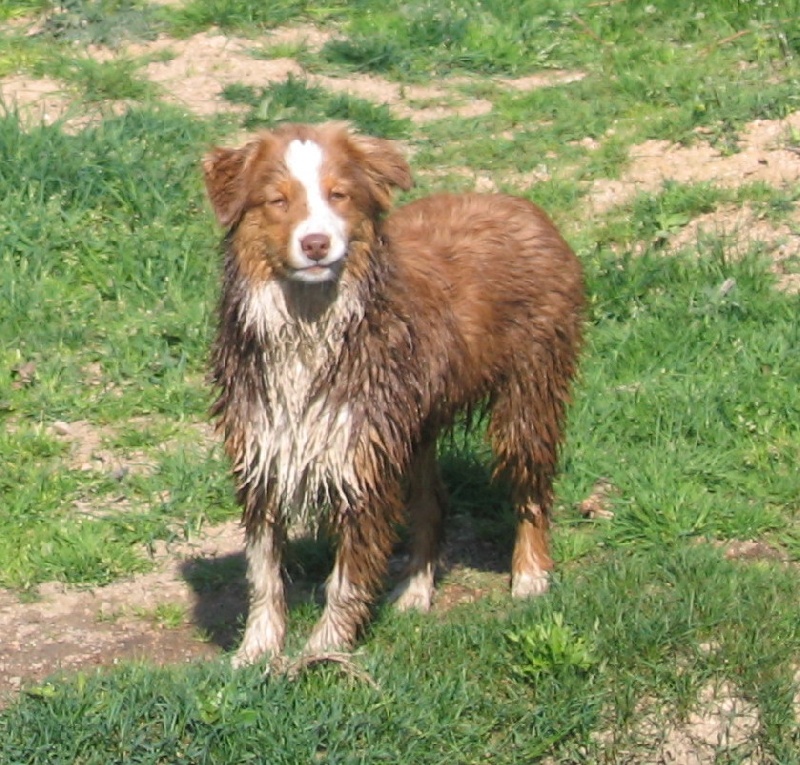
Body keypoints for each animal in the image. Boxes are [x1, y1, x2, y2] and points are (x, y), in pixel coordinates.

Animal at [203, 122, 584, 664]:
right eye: (278, 200)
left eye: (338, 195)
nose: (316, 243)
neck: (309, 326)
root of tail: (523, 205)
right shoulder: (265, 452)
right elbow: (264, 574)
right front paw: (255, 652)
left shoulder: (358, 460)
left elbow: (345, 579)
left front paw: (322, 654)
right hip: (410, 430)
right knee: (432, 504)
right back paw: (416, 591)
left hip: (527, 394)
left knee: (531, 486)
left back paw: (530, 574)